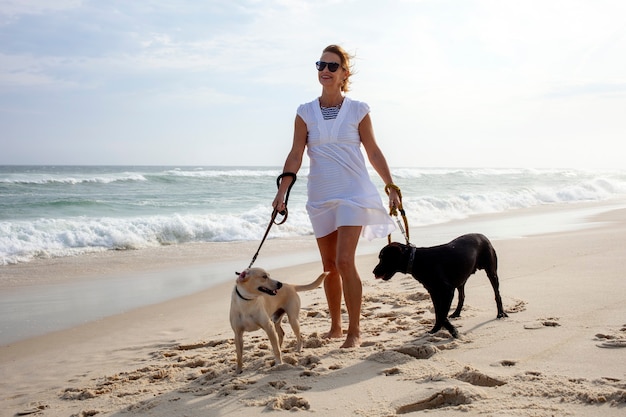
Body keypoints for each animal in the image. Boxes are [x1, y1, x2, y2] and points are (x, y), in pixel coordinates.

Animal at [372, 232, 504, 336]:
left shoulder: (447, 291)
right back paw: (456, 313)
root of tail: (482, 236)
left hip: (491, 271)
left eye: (383, 258)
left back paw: (501, 313)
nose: (374, 272)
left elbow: (441, 314)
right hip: (461, 278)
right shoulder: (433, 292)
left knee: (497, 294)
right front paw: (436, 329)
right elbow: (438, 312)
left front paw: (453, 331)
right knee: (462, 296)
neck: (416, 261)